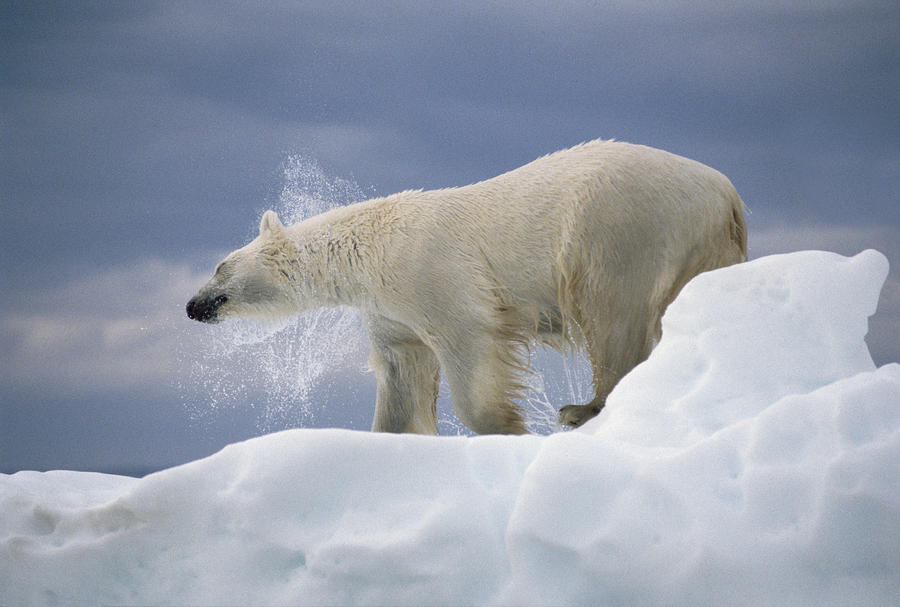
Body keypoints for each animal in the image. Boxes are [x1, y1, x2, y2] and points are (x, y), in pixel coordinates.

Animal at [185, 139, 744, 432]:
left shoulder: (433, 272)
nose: (192, 306)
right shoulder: (390, 311)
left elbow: (470, 345)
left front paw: (506, 427)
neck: (373, 244)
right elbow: (402, 373)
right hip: (701, 245)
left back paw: (582, 407)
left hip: (617, 226)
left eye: (219, 266)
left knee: (612, 314)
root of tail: (726, 195)